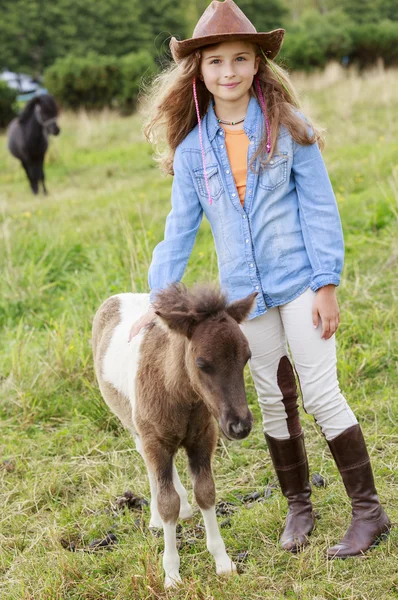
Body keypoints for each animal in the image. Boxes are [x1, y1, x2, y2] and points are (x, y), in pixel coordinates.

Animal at [92, 284, 256, 588]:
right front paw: (171, 574)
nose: (240, 426)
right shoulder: (154, 441)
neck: (179, 394)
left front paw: (223, 561)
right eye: (201, 363)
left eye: (247, 357)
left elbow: (206, 492)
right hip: (135, 427)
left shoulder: (203, 437)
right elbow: (167, 502)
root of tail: (118, 296)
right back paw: (157, 518)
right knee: (149, 466)